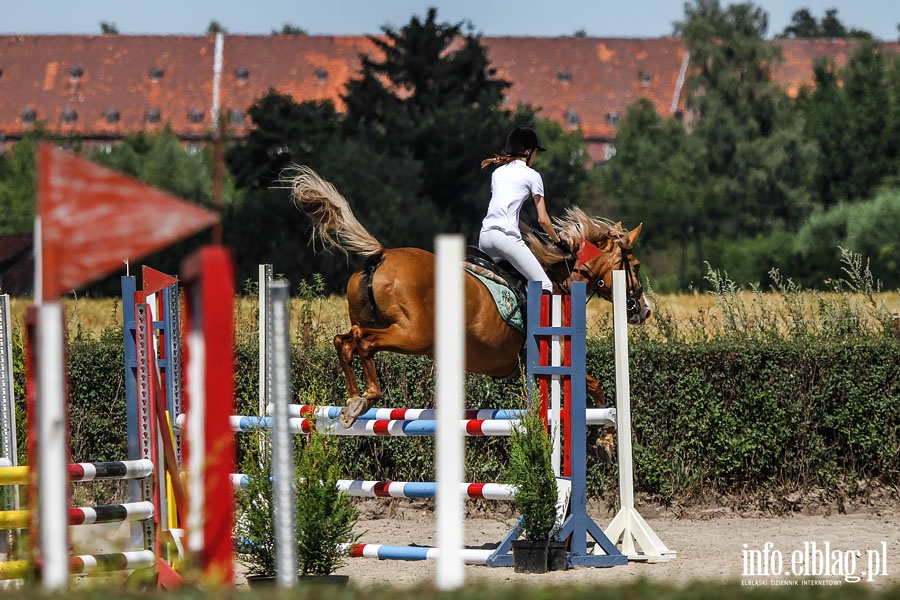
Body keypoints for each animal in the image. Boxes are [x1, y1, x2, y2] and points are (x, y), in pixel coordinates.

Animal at [292, 166, 652, 458]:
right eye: (634, 265)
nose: (644, 311)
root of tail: (381, 254)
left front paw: (595, 440)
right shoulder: (556, 359)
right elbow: (595, 387)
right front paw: (605, 441)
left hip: (381, 324)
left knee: (344, 340)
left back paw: (352, 403)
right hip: (413, 336)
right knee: (362, 341)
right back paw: (366, 397)